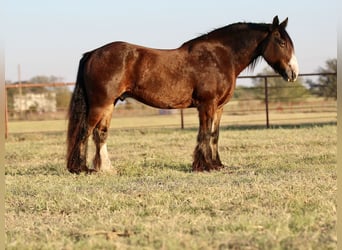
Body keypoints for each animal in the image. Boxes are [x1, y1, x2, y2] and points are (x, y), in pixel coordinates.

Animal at [65, 16, 298, 174]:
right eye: (281, 42)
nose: (293, 73)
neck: (219, 57)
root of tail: (93, 53)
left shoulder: (219, 107)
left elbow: (214, 135)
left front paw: (217, 164)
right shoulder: (207, 105)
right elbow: (205, 133)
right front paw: (204, 166)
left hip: (110, 104)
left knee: (100, 133)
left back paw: (105, 168)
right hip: (100, 103)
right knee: (85, 131)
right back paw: (81, 168)